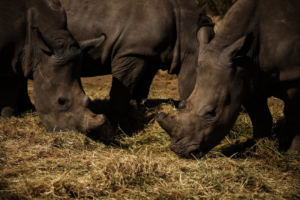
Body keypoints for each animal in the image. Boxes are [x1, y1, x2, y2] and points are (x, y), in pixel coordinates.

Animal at [58, 0, 214, 122]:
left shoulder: (149, 55)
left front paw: (136, 113)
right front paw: (119, 125)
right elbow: (121, 92)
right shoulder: (133, 52)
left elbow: (141, 90)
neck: (187, 35)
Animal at [156, 0, 300, 159]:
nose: (181, 151)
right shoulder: (247, 80)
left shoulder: (292, 77)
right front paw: (250, 149)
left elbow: (294, 117)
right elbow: (260, 118)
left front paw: (293, 153)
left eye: (211, 113)